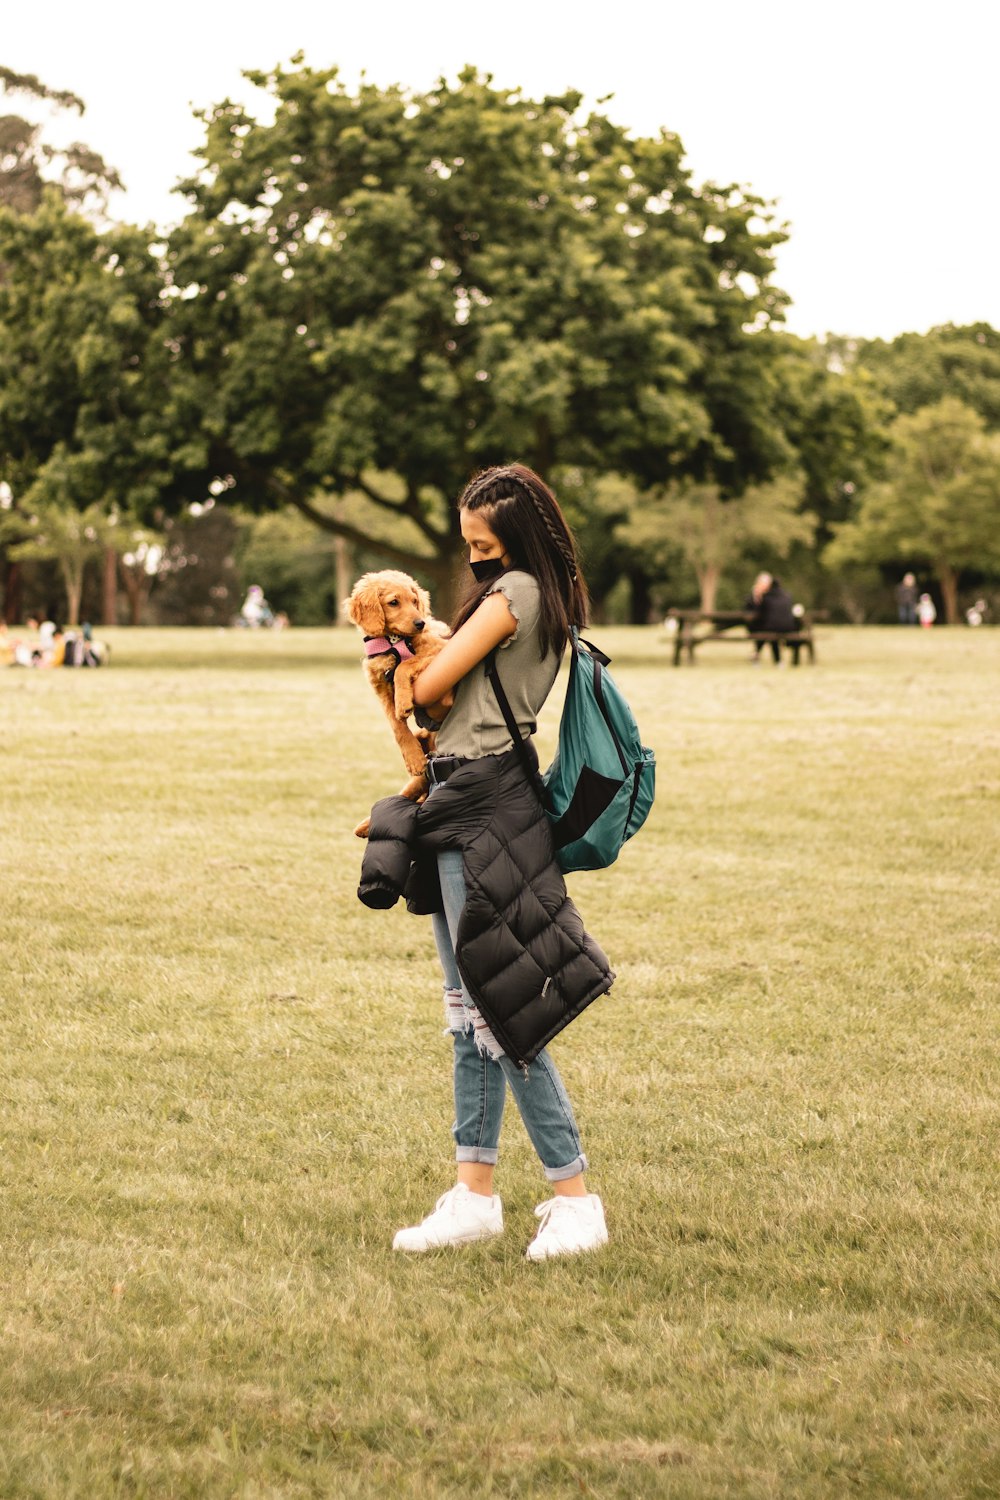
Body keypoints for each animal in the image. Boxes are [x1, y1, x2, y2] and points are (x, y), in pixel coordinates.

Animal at [347, 570, 449, 840]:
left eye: (414, 601)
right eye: (394, 602)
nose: (420, 623)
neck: (393, 642)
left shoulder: (440, 651)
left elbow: (405, 665)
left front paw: (403, 700)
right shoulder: (379, 686)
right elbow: (396, 725)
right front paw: (412, 756)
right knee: (408, 792)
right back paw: (366, 825)